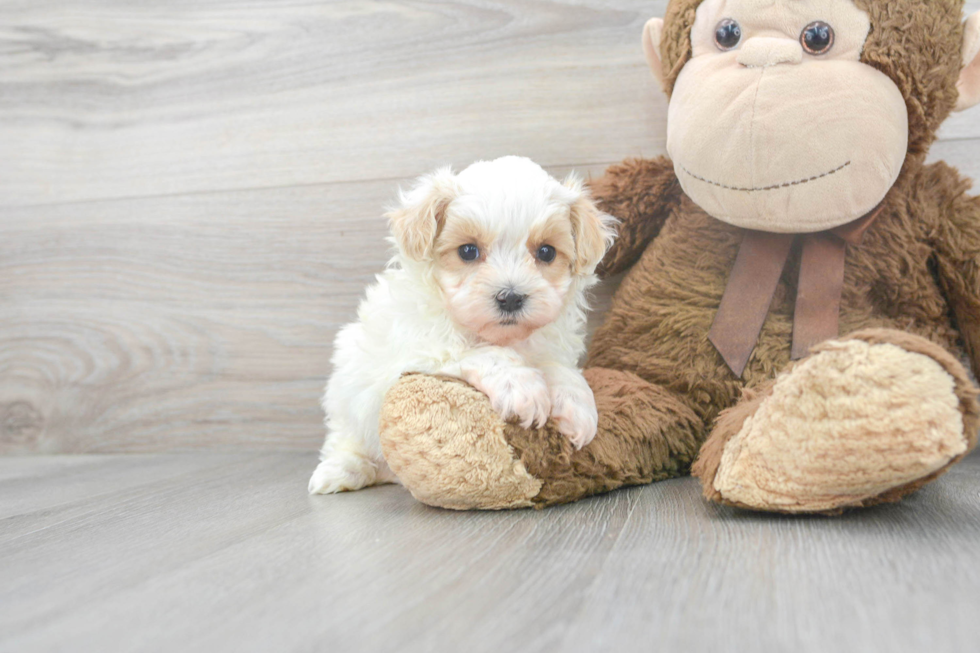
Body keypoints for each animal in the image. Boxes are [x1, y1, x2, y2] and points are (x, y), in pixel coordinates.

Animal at [308, 157, 612, 494]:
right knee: (345, 438)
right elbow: (476, 353)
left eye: (546, 252)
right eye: (468, 251)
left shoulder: (548, 345)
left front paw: (576, 405)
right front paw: (521, 385)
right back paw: (341, 470)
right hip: (346, 390)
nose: (510, 297)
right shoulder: (415, 353)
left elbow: (560, 368)